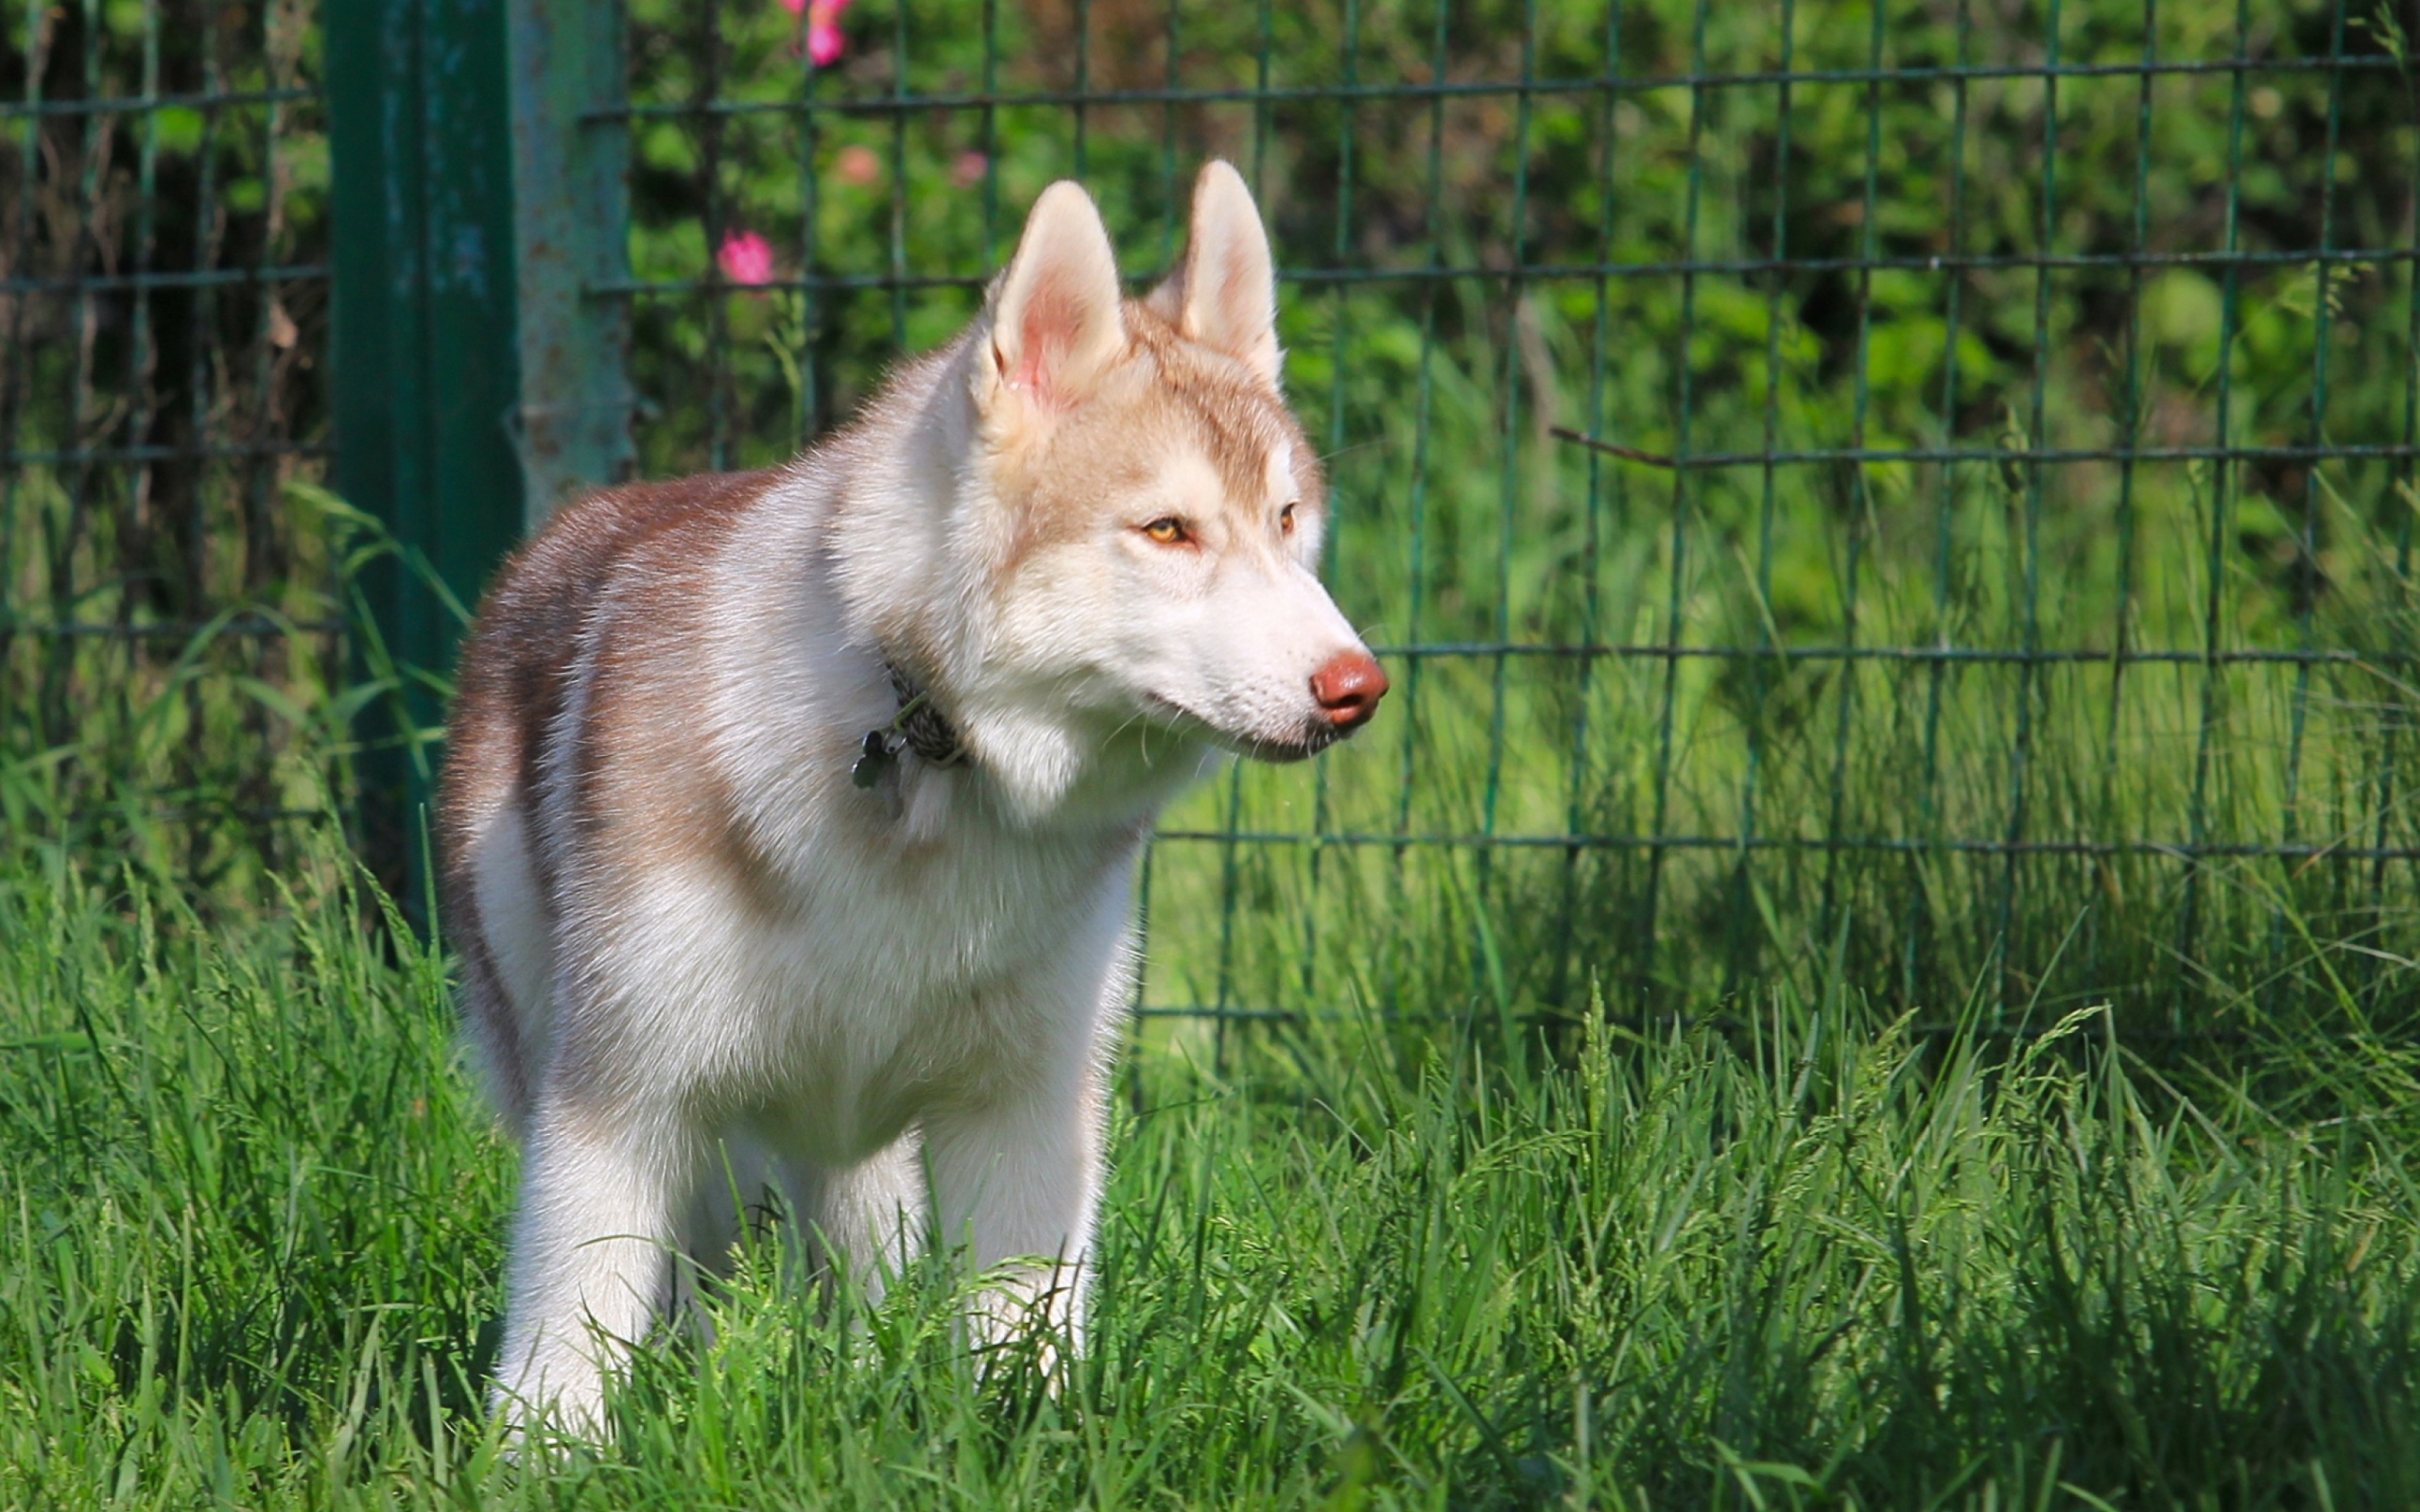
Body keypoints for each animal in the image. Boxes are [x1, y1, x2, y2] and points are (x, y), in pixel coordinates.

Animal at [435, 164, 1384, 1422]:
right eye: (1168, 530)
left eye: (1285, 519)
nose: (1357, 685)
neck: (932, 754)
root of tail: (572, 525)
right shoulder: (621, 1107)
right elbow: (562, 1354)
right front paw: (542, 1454)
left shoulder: (1027, 1111)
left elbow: (1025, 1336)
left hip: (862, 1159)